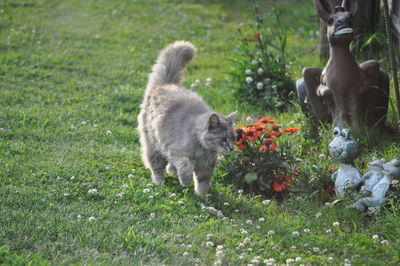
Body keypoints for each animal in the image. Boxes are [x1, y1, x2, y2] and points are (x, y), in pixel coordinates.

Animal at [138, 40, 238, 194]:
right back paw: (159, 182)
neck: (201, 147)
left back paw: (172, 172)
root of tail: (166, 84)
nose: (231, 148)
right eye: (223, 139)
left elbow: (203, 180)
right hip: (153, 144)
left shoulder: (206, 163)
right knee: (156, 167)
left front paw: (202, 195)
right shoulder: (176, 151)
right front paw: (186, 181)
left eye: (234, 139)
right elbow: (185, 167)